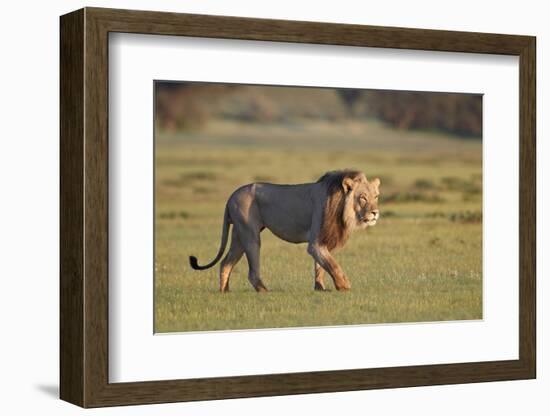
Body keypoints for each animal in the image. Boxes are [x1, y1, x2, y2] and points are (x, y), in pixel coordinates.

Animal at [189, 169, 380, 292]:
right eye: (362, 198)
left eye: (376, 196)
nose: (375, 212)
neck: (341, 207)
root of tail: (231, 196)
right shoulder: (315, 242)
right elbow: (333, 265)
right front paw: (344, 286)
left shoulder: (323, 240)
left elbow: (321, 266)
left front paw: (320, 288)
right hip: (250, 235)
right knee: (251, 272)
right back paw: (264, 291)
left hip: (238, 234)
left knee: (226, 263)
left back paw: (224, 292)